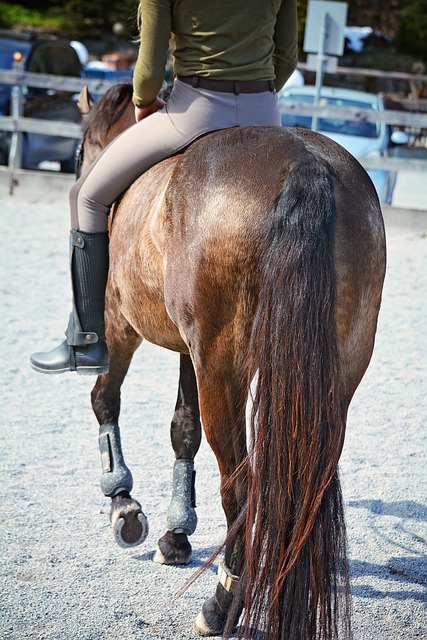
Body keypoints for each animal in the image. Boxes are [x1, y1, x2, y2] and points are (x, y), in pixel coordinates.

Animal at [77, 86, 388, 640]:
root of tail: (305, 164)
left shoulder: (119, 320)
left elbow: (105, 398)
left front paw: (124, 504)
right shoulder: (190, 350)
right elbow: (183, 429)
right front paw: (176, 534)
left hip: (223, 368)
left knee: (241, 488)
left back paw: (221, 605)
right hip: (331, 373)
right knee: (301, 483)